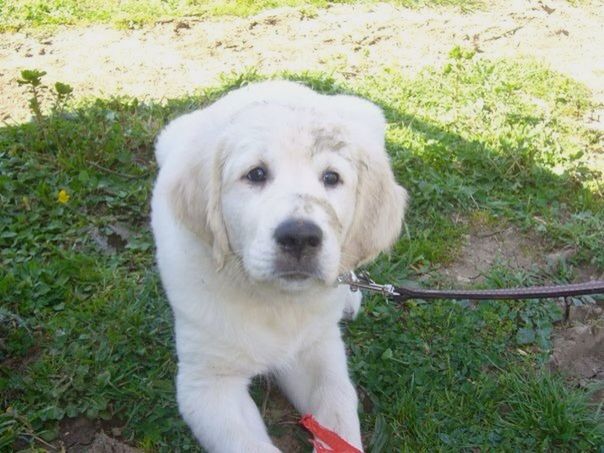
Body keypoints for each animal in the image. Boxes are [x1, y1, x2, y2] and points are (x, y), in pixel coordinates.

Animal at [150, 81, 406, 452]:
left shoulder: (317, 351)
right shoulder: (208, 382)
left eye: (332, 177)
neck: (276, 302)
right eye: (256, 174)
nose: (300, 237)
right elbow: (249, 446)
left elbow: (339, 408)